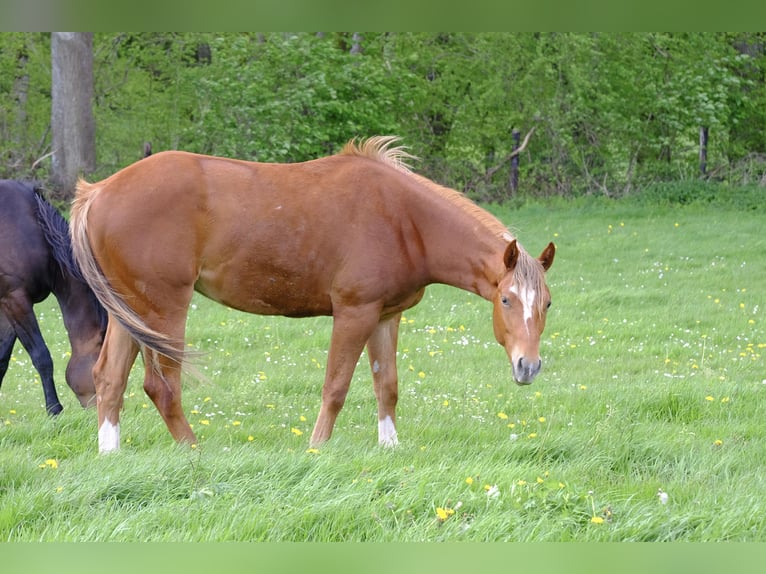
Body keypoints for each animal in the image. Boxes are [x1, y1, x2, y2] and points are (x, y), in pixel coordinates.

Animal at [72, 138, 556, 454]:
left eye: (547, 303)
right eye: (507, 300)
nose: (528, 367)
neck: (404, 219)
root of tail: (98, 192)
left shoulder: (386, 316)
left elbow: (387, 385)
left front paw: (390, 448)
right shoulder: (355, 314)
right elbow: (336, 387)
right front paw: (318, 449)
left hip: (131, 311)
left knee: (109, 380)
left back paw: (111, 454)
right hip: (163, 309)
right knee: (162, 386)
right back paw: (194, 452)